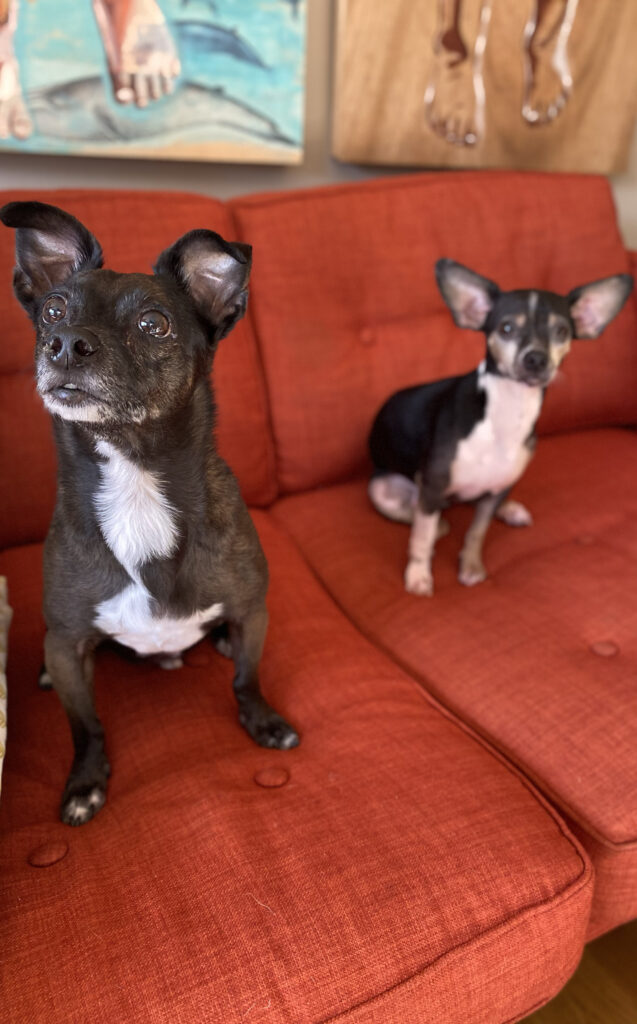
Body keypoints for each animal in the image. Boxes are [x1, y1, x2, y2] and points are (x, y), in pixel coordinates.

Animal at [1, 199, 301, 823]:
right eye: (54, 311)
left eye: (153, 324)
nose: (65, 343)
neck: (136, 480)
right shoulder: (68, 646)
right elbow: (85, 724)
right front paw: (86, 782)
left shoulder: (252, 612)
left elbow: (247, 678)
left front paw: (262, 721)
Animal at [368, 256, 634, 598]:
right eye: (506, 328)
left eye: (562, 331)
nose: (536, 359)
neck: (507, 411)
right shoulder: (433, 485)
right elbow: (422, 537)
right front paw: (418, 575)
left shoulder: (496, 488)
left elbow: (477, 531)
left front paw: (471, 566)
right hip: (382, 490)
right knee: (425, 516)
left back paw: (508, 509)